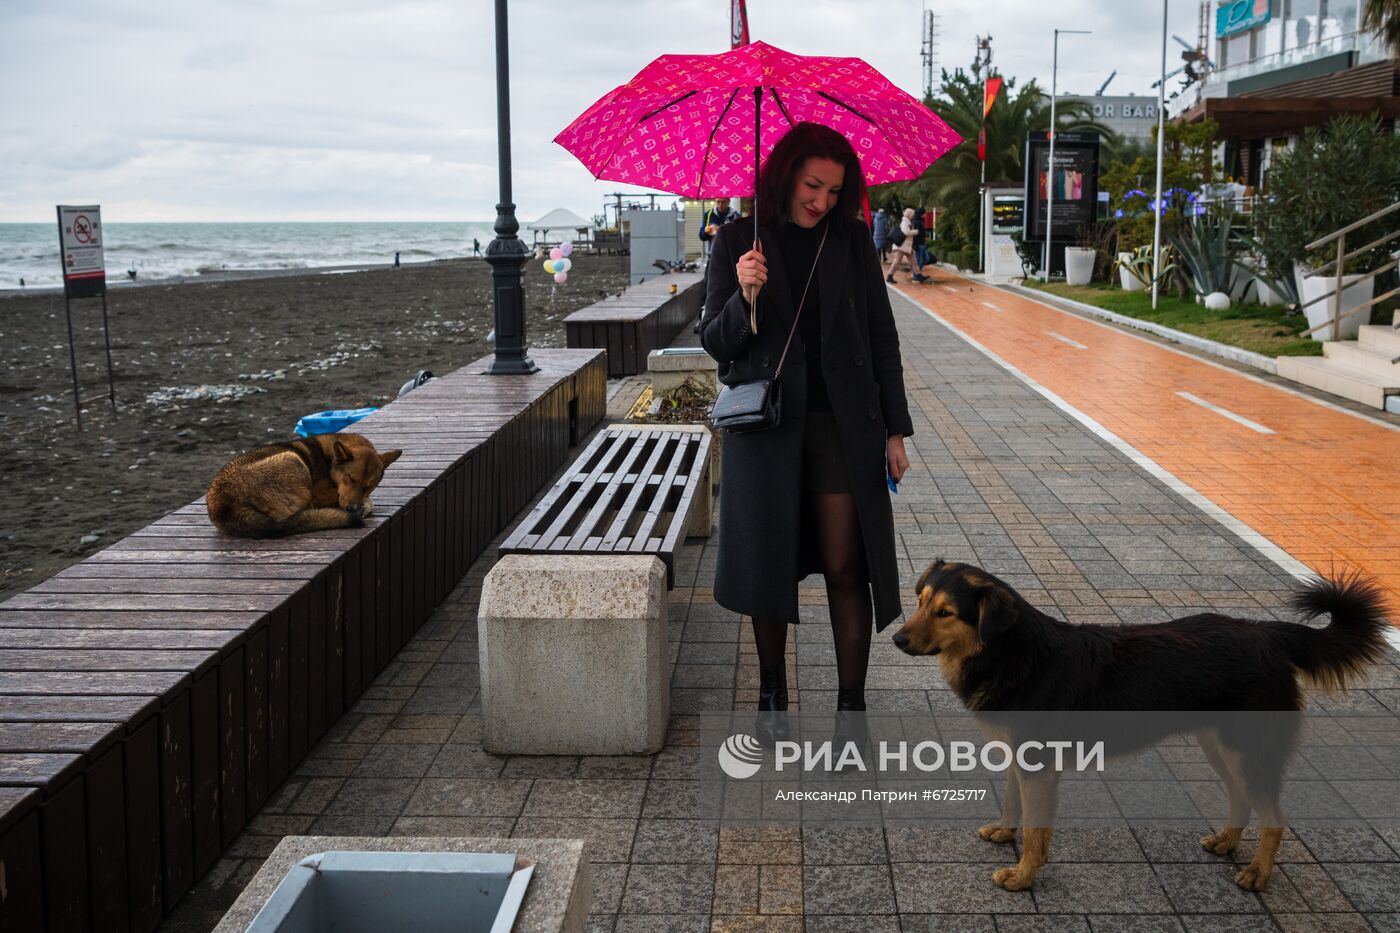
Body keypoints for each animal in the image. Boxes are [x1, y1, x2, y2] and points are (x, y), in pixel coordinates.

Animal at [208, 431, 406, 535]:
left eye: (369, 485)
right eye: (350, 478)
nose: (351, 509)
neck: (328, 458)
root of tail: (227, 506)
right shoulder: (322, 494)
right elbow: (368, 502)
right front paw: (364, 506)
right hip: (293, 459)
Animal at [896, 554, 1388, 890]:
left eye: (945, 612)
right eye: (919, 601)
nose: (897, 639)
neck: (1011, 654)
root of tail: (1265, 632)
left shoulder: (1040, 767)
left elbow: (1037, 831)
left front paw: (1022, 876)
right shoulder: (1020, 758)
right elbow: (1014, 803)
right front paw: (1005, 832)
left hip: (1248, 750)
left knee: (1274, 817)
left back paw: (1256, 873)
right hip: (1221, 746)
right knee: (1242, 800)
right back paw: (1226, 843)